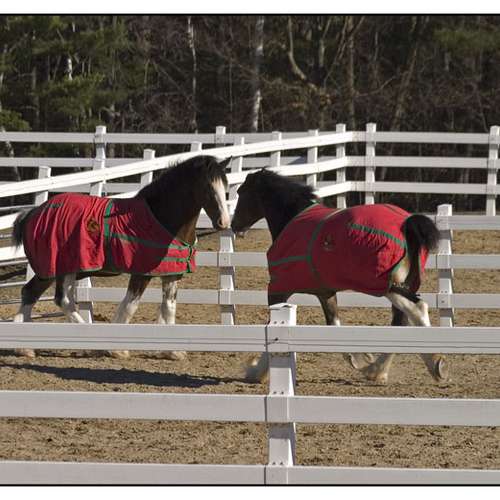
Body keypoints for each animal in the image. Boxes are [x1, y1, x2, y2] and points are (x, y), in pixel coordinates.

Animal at [12, 155, 231, 359]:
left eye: (226, 186)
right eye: (207, 189)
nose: (224, 222)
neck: (161, 218)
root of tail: (33, 212)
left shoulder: (171, 274)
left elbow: (169, 307)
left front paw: (173, 352)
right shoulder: (141, 274)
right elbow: (130, 305)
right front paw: (117, 349)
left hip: (49, 271)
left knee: (30, 292)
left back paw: (24, 347)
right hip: (65, 269)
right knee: (63, 300)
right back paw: (91, 344)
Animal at [230, 169, 448, 385]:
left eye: (241, 192)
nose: (234, 225)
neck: (292, 219)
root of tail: (407, 223)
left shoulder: (278, 289)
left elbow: (272, 326)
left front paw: (256, 371)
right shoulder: (325, 292)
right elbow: (334, 324)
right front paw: (359, 359)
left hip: (386, 286)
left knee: (417, 309)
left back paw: (435, 363)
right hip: (401, 284)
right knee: (401, 321)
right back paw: (378, 370)